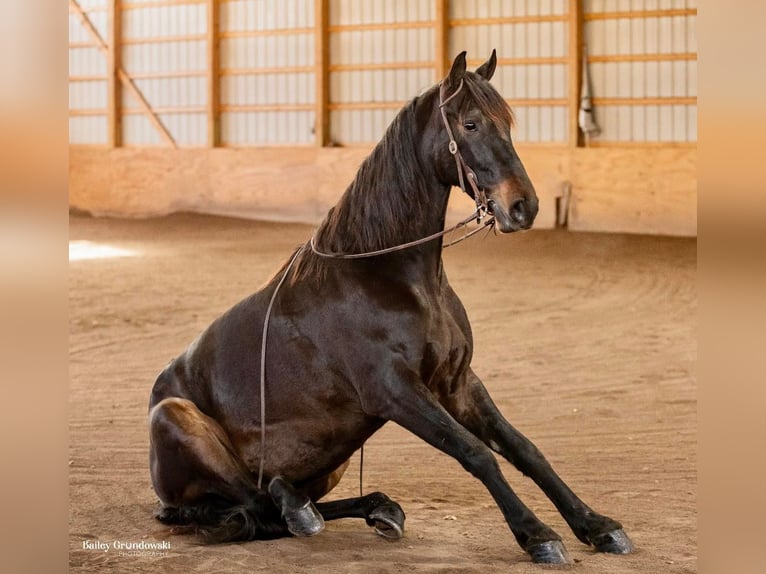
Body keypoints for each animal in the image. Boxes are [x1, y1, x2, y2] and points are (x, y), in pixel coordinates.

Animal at [152, 50, 636, 568]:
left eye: (507, 123)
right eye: (470, 123)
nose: (523, 206)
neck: (389, 277)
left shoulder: (458, 384)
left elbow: (524, 450)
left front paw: (596, 525)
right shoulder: (395, 391)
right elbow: (476, 453)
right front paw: (537, 534)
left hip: (336, 461)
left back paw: (376, 508)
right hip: (175, 418)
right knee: (258, 504)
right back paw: (297, 505)